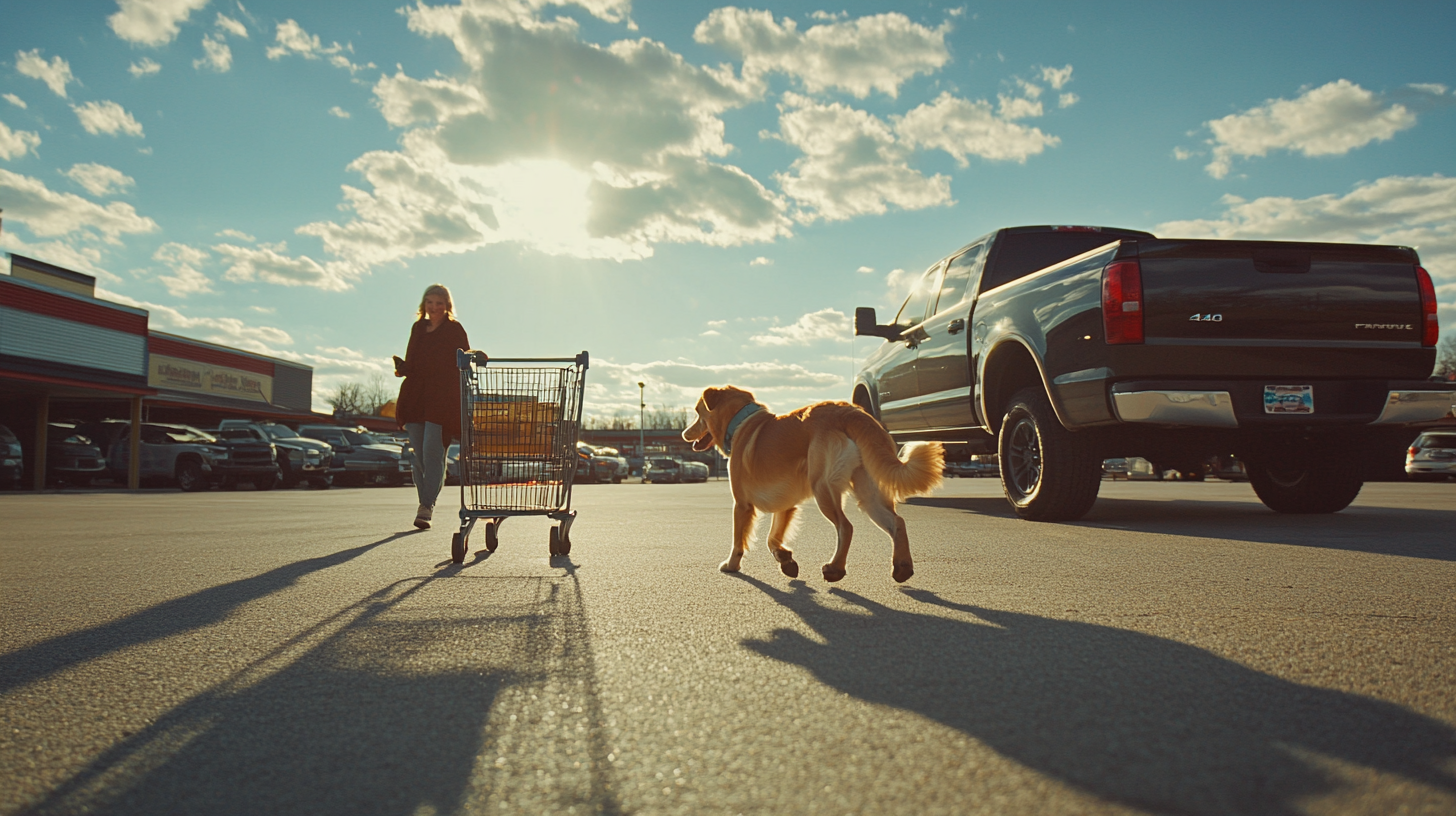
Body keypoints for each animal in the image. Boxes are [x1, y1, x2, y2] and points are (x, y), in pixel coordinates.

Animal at [681, 384, 943, 582]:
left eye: (697, 412)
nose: (684, 433)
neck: (741, 423)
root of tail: (850, 412)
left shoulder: (742, 505)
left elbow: (739, 540)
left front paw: (732, 565)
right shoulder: (785, 504)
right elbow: (772, 538)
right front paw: (784, 559)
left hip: (823, 489)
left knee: (846, 527)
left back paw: (835, 569)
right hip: (869, 492)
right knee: (897, 522)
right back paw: (902, 567)